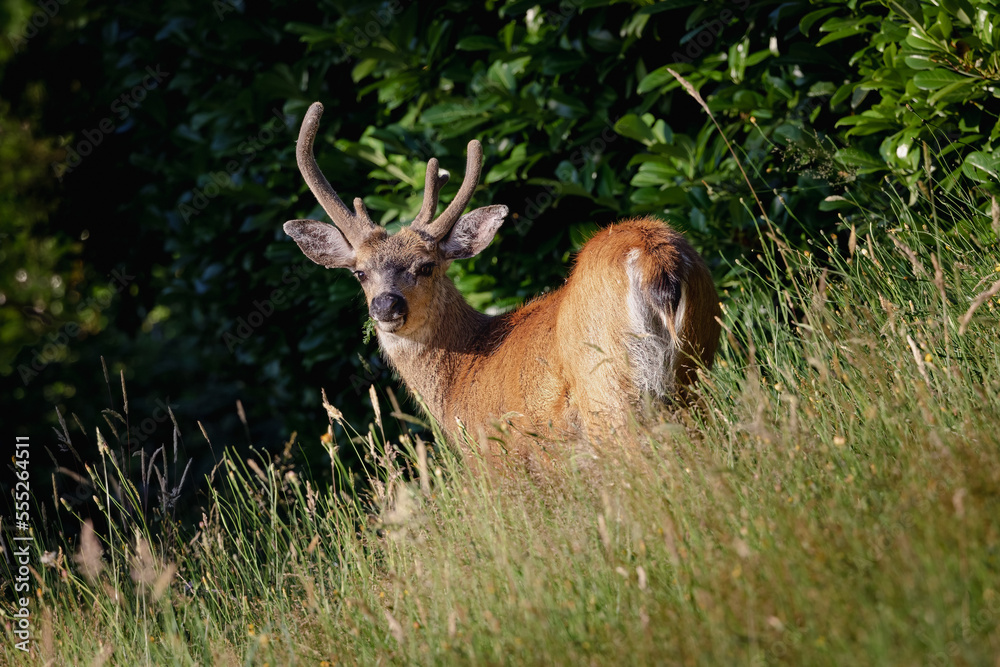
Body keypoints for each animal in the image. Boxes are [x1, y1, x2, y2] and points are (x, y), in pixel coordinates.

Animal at [283, 102, 721, 466]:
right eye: (359, 273)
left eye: (426, 266)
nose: (386, 306)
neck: (462, 376)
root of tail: (651, 254)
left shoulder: (501, 460)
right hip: (694, 368)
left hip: (609, 390)